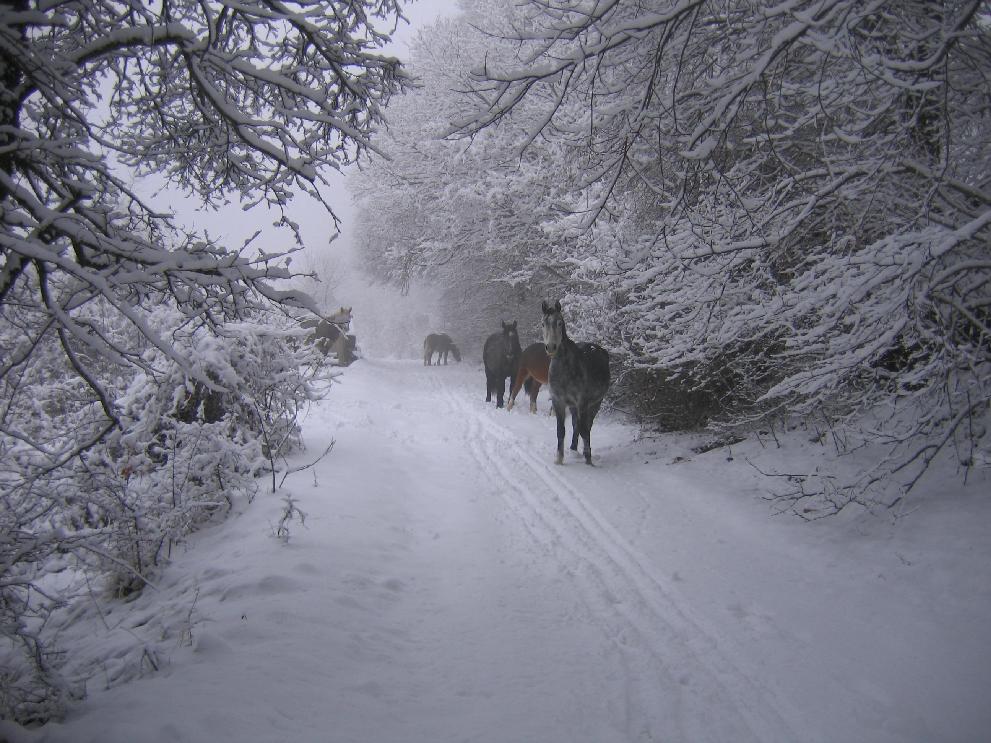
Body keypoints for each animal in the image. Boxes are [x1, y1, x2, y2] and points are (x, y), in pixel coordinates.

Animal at [542, 300, 610, 465]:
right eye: (543, 324)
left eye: (560, 323)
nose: (551, 347)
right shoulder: (558, 401)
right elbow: (561, 430)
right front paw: (559, 459)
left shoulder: (582, 402)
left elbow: (584, 429)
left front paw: (588, 459)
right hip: (573, 406)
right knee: (575, 424)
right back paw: (573, 448)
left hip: (595, 403)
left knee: (587, 426)